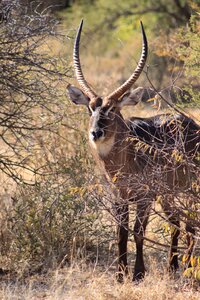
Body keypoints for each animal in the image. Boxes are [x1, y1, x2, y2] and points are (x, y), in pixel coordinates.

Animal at [67, 19, 200, 280]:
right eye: (90, 108)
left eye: (113, 108)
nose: (95, 133)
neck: (122, 161)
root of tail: (190, 122)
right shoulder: (117, 197)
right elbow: (121, 233)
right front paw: (120, 275)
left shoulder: (144, 196)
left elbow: (138, 231)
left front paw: (138, 273)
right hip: (168, 194)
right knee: (177, 222)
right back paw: (173, 267)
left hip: (187, 189)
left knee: (188, 223)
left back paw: (188, 268)